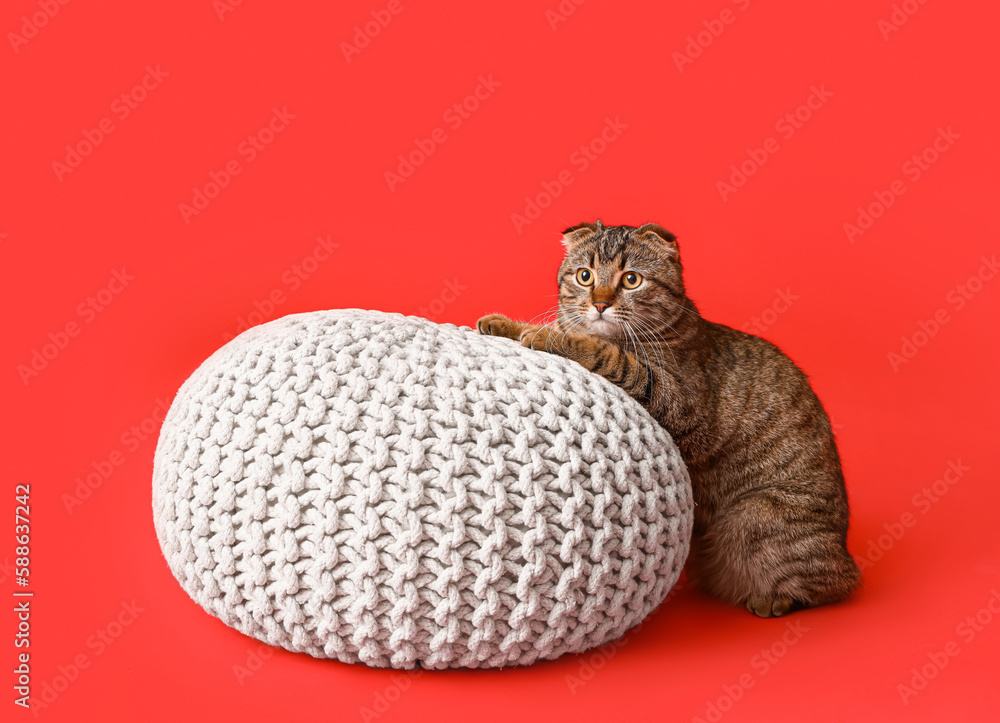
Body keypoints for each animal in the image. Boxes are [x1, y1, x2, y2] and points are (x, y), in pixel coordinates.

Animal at [476, 221, 860, 616]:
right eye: (585, 276)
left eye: (631, 280)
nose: (600, 304)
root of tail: (843, 545)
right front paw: (506, 324)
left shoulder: (678, 401)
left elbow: (604, 352)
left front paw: (550, 335)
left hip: (755, 515)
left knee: (835, 582)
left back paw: (775, 599)